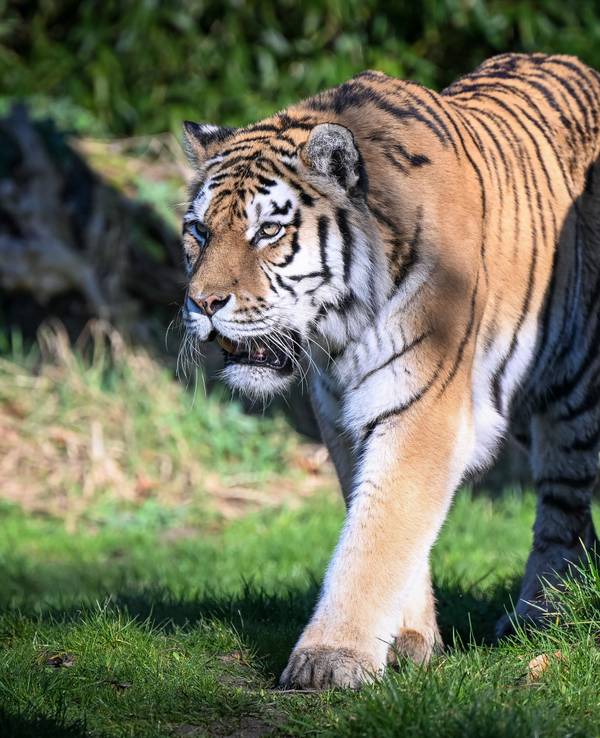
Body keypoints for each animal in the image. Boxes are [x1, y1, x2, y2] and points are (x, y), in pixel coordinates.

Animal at [180, 52, 600, 689]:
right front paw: (409, 641)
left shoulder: (423, 407)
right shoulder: (343, 416)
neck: (341, 335)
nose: (202, 303)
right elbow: (386, 521)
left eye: (269, 231)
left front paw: (332, 658)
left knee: (562, 509)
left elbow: (377, 533)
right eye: (199, 231)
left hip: (572, 394)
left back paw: (540, 620)